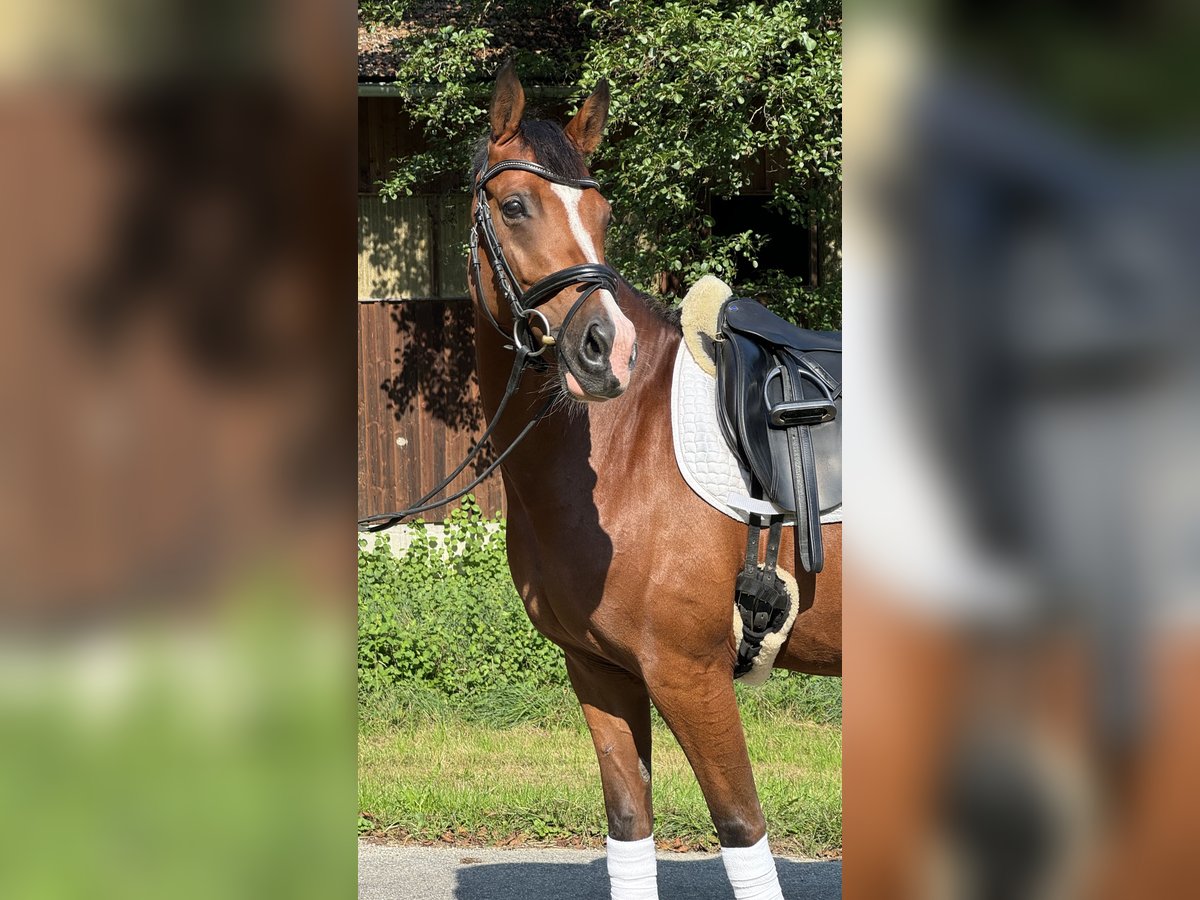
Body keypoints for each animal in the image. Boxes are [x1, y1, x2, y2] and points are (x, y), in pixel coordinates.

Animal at [463, 61, 840, 897]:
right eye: (515, 205)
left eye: (602, 211)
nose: (607, 349)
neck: (629, 451)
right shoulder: (600, 671)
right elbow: (630, 828)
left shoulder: (688, 675)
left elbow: (742, 833)